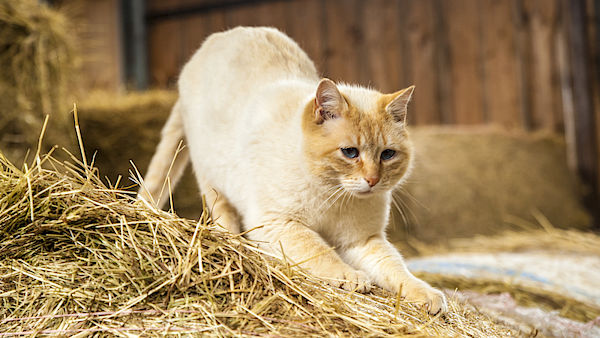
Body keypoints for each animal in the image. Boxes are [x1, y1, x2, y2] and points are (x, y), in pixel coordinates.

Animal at [139, 25, 446, 314]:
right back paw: (236, 246)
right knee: (224, 218)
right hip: (212, 179)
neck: (333, 195)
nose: (372, 180)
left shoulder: (363, 240)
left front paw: (428, 295)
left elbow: (396, 268)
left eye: (387, 155)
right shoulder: (280, 224)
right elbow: (321, 252)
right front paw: (350, 277)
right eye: (350, 153)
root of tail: (215, 40)